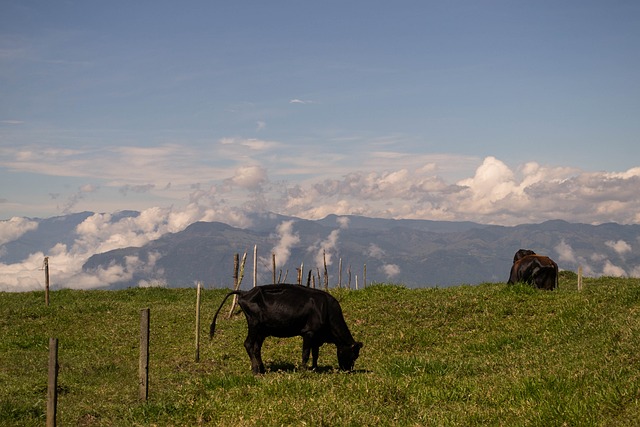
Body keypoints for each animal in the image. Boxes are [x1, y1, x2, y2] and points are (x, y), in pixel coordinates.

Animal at [209, 286, 362, 376]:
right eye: (353, 355)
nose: (348, 370)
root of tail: (245, 292)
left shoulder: (316, 336)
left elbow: (315, 354)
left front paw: (314, 369)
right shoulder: (309, 333)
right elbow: (306, 354)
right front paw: (303, 372)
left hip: (262, 330)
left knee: (257, 348)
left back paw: (262, 370)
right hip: (254, 324)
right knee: (248, 344)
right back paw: (255, 371)